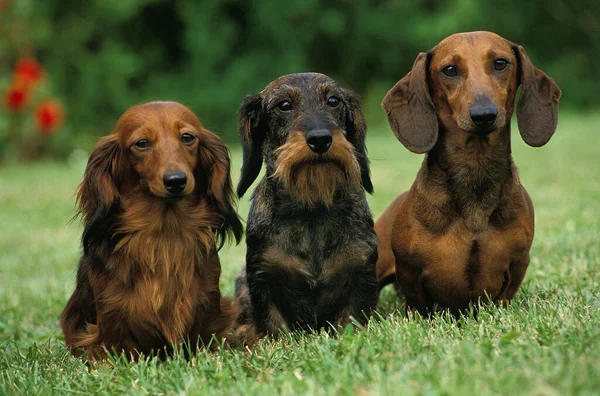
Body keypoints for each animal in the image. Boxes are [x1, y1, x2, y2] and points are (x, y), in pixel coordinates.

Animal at [58, 101, 241, 358]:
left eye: (187, 137)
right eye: (142, 143)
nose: (176, 180)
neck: (165, 233)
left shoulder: (208, 307)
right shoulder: (111, 322)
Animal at [232, 72, 378, 338]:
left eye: (333, 101)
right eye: (284, 105)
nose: (320, 139)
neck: (312, 210)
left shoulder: (361, 272)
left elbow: (351, 321)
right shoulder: (262, 278)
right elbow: (274, 328)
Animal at [378, 31, 560, 316]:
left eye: (500, 63)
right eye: (449, 70)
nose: (484, 115)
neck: (475, 169)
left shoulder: (518, 264)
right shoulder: (409, 271)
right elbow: (418, 306)